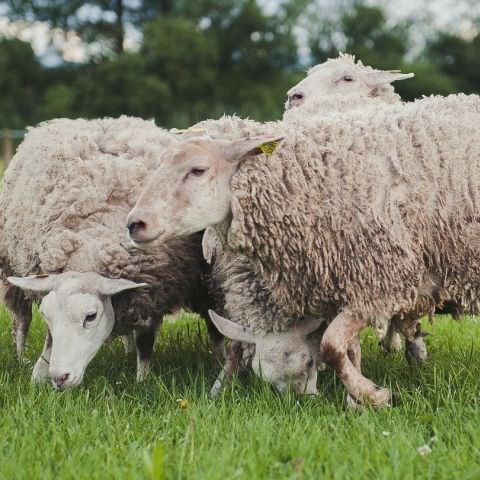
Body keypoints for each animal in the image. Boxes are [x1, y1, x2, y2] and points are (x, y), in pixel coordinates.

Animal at [0, 117, 216, 390]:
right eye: (47, 316)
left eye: (90, 317)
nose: (59, 378)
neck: (91, 244)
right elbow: (49, 338)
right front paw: (38, 374)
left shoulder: (152, 291)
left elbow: (145, 341)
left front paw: (142, 380)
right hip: (11, 269)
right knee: (21, 320)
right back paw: (20, 357)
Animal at [126, 94, 480, 404]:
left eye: (197, 170)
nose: (134, 223)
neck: (308, 181)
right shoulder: (344, 284)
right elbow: (346, 348)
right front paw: (357, 401)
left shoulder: (379, 282)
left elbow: (331, 346)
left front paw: (373, 396)